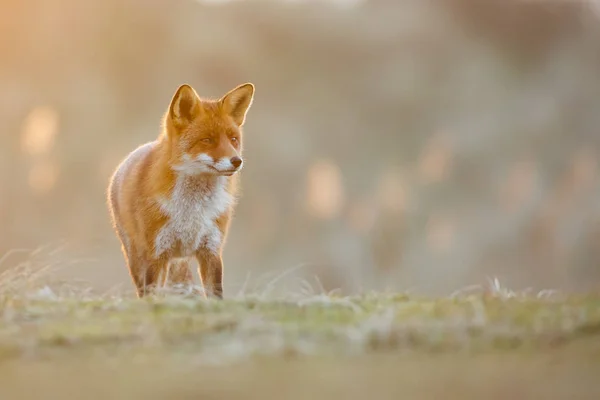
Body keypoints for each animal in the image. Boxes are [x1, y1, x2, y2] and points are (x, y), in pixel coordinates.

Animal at [106, 83, 254, 298]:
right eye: (207, 140)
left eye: (233, 139)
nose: (237, 161)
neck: (192, 209)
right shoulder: (156, 253)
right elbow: (153, 296)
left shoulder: (211, 251)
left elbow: (215, 297)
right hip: (137, 257)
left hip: (178, 261)